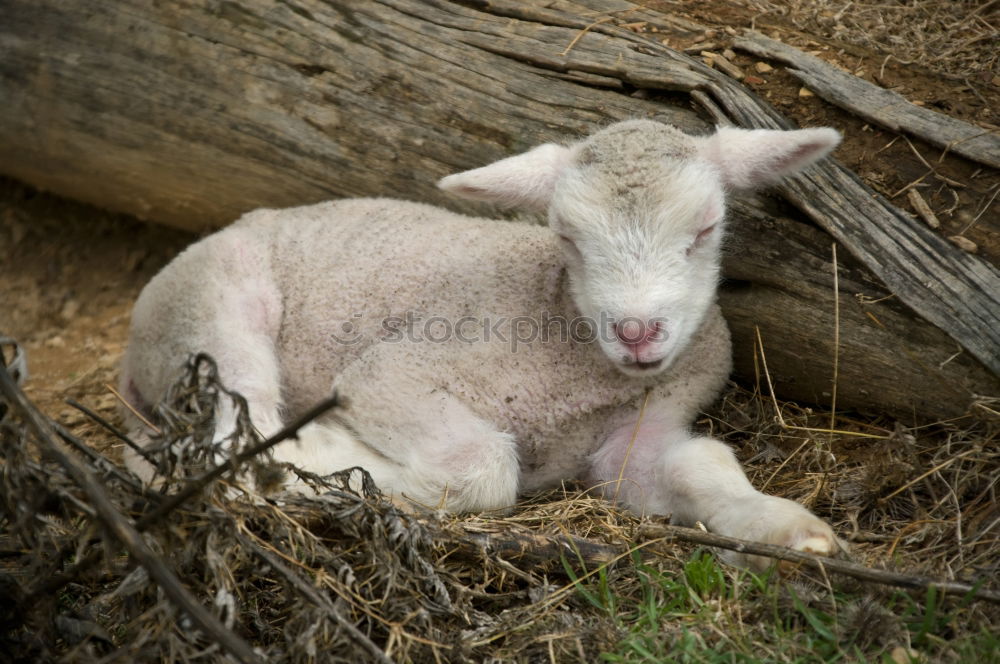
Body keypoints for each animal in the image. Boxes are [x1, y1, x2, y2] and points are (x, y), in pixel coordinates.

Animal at [123, 119, 844, 572]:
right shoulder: (387, 374)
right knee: (229, 443)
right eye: (566, 236)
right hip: (211, 312)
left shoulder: (645, 428)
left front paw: (789, 531)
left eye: (706, 228)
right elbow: (484, 466)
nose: (637, 332)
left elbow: (700, 464)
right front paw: (342, 460)